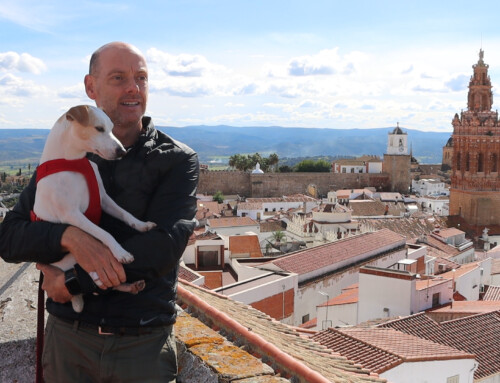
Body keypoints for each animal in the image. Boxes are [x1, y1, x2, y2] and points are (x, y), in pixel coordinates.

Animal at [33, 104, 155, 312]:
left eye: (112, 128)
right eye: (99, 128)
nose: (122, 151)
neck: (72, 162)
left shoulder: (103, 199)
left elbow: (126, 214)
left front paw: (141, 225)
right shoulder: (72, 215)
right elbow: (104, 233)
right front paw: (120, 252)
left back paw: (130, 286)